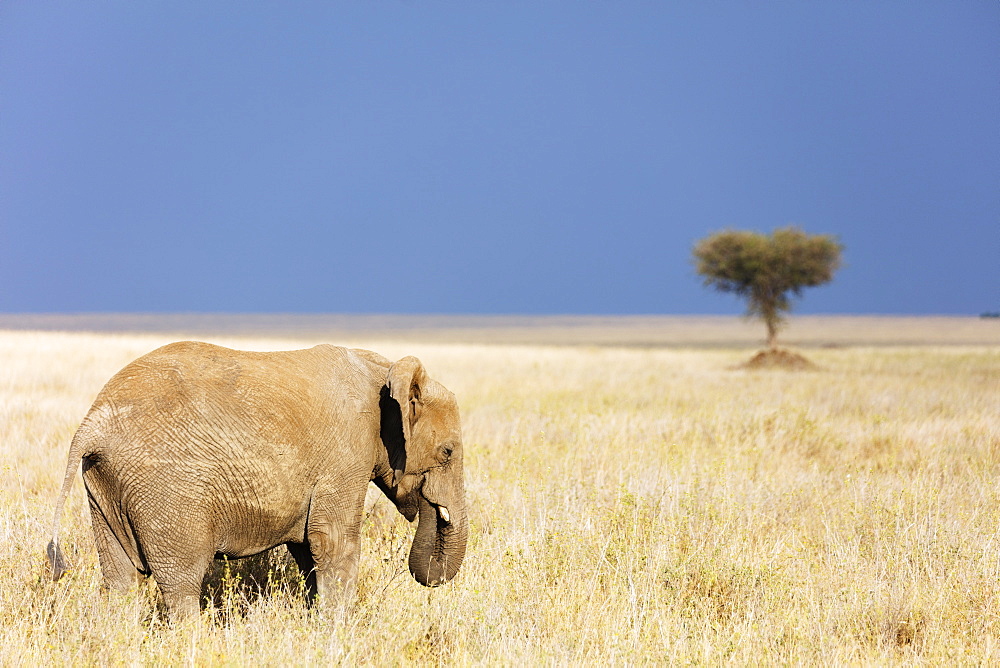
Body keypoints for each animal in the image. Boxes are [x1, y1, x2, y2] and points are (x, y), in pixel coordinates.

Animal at [47, 342, 468, 620]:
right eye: (448, 452)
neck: (385, 368)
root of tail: (91, 425)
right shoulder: (346, 455)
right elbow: (332, 543)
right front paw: (338, 631)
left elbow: (307, 548)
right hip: (165, 490)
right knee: (181, 581)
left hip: (104, 484)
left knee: (120, 578)